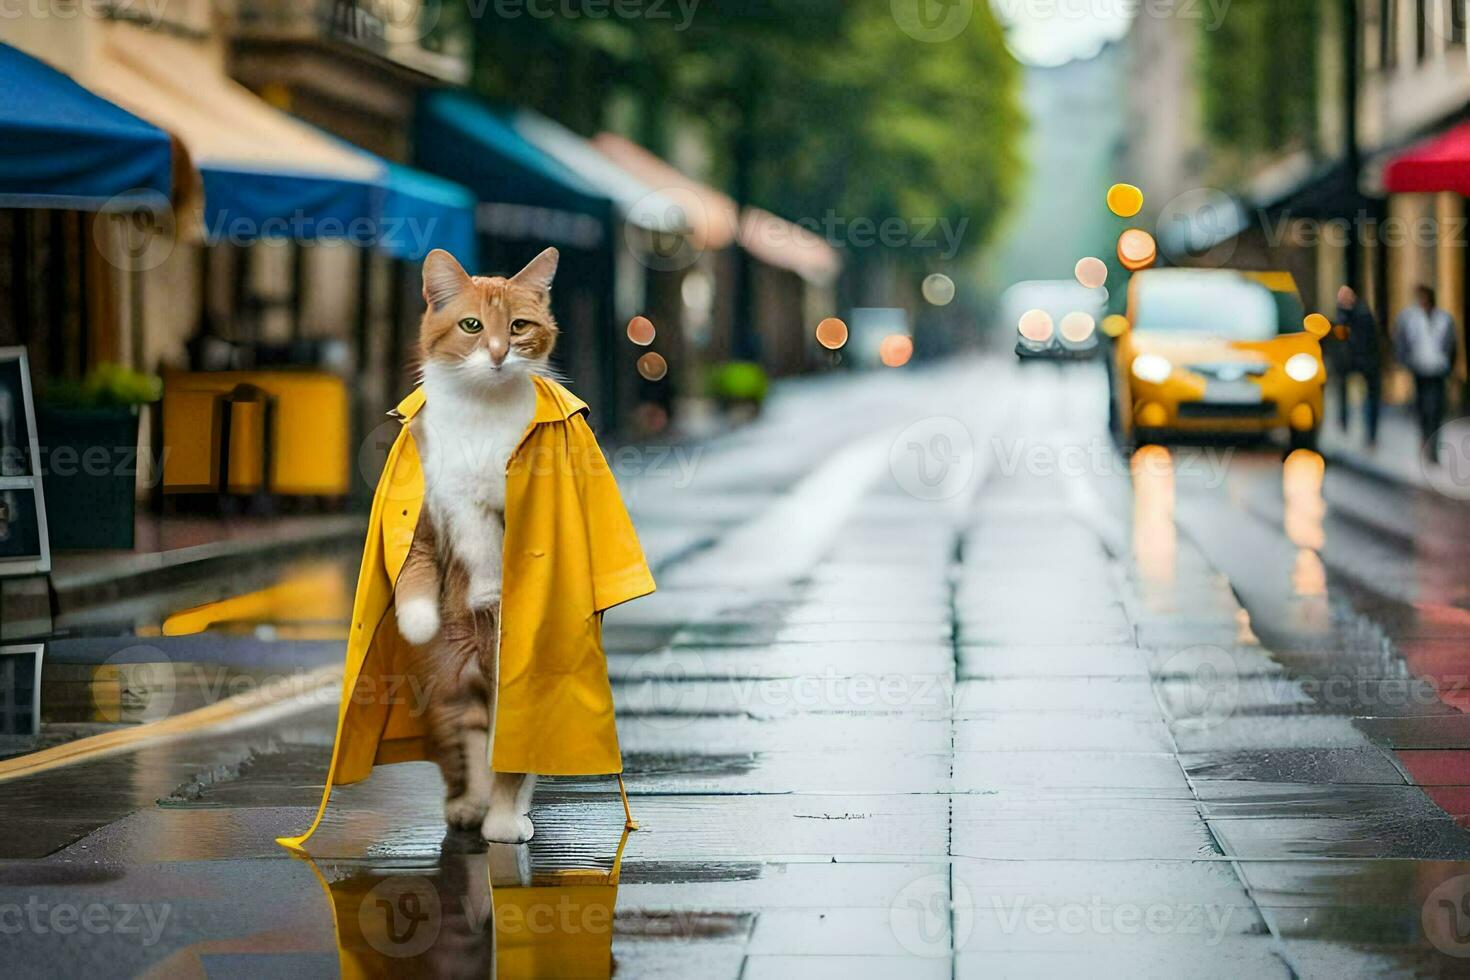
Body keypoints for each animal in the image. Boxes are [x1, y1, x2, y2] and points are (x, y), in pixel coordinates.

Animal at [393, 245, 558, 846]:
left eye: (519, 327)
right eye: (471, 326)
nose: (498, 355)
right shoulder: (441, 508)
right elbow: (433, 561)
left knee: (505, 754)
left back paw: (505, 818)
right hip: (448, 685)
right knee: (464, 742)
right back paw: (470, 805)